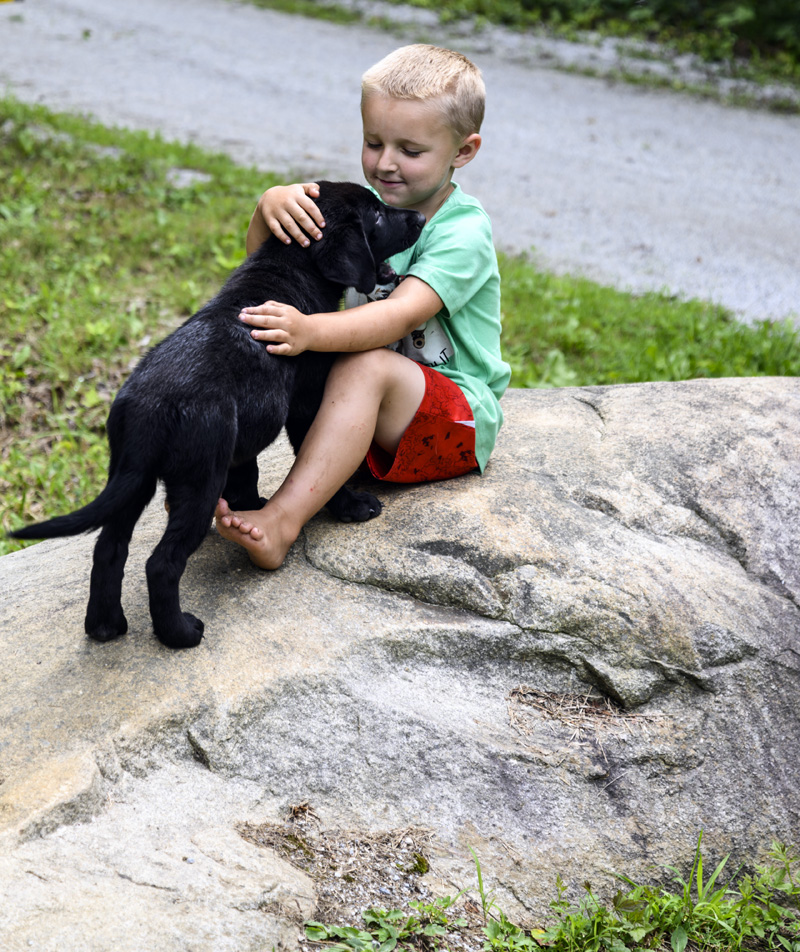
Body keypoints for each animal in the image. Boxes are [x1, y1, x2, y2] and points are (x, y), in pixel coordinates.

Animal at [10, 180, 424, 648]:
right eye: (376, 215)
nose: (419, 218)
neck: (290, 269)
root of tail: (149, 407)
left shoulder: (244, 431)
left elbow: (247, 470)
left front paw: (247, 507)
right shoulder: (306, 403)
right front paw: (351, 506)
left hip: (132, 478)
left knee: (109, 548)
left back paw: (105, 626)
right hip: (199, 476)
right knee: (162, 562)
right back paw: (179, 633)